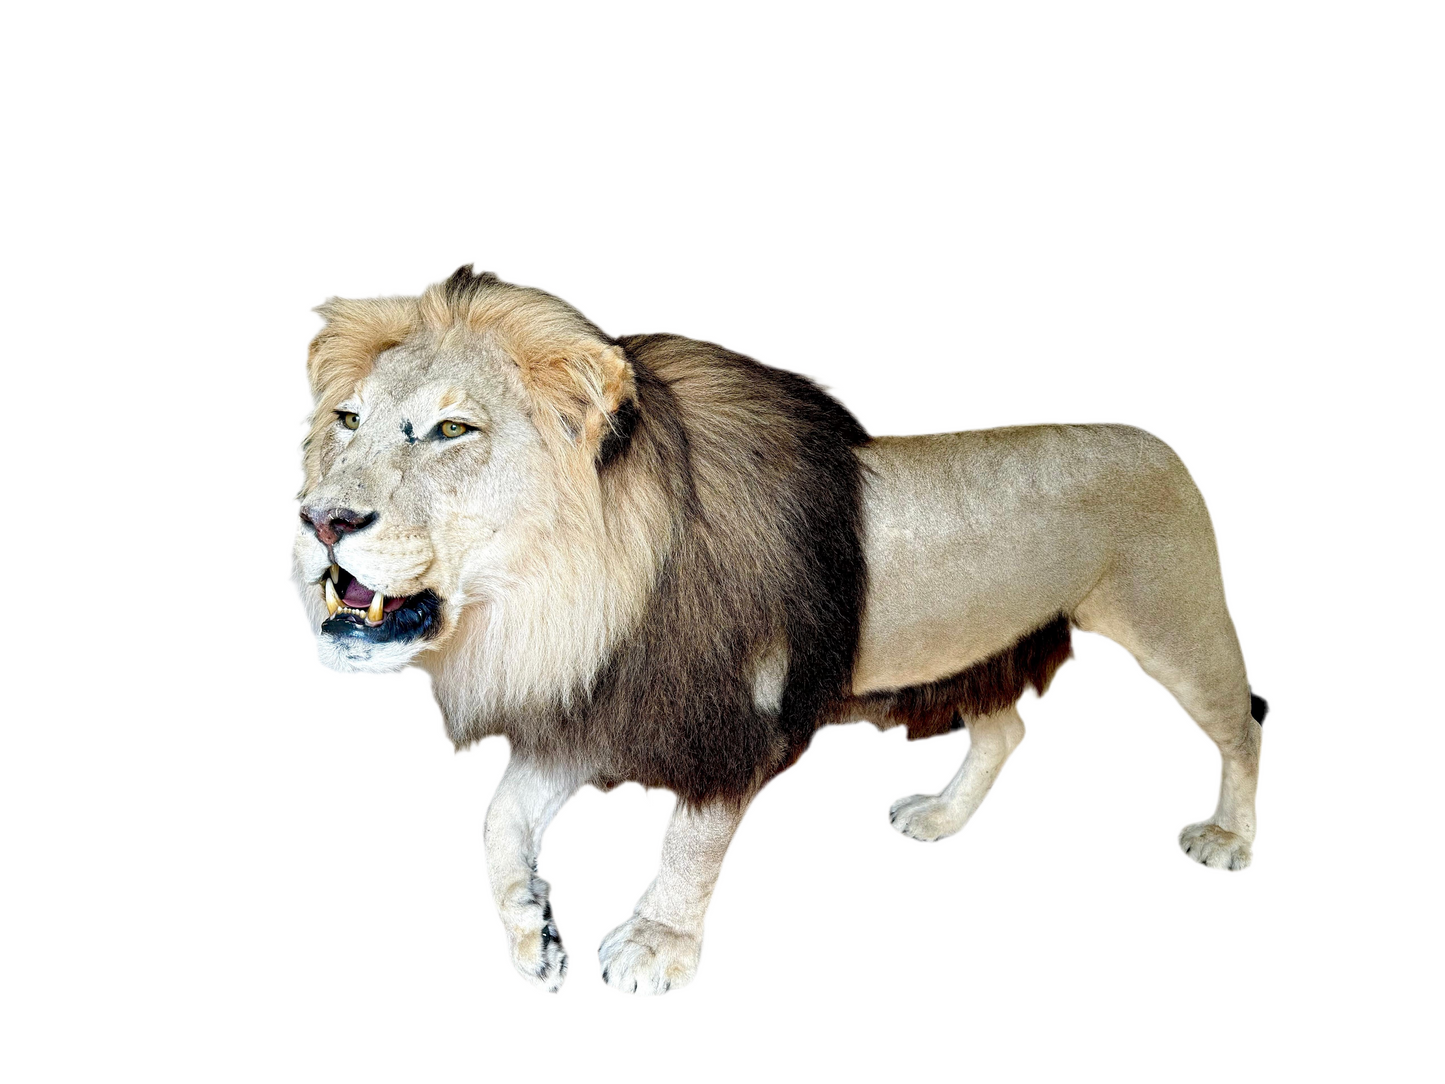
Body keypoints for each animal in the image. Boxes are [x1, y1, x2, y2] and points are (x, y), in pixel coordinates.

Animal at [294, 266, 1266, 995]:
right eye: (348, 419)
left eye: (452, 429)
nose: (318, 520)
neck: (558, 605)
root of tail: (1158, 442)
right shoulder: (591, 708)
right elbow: (497, 819)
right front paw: (533, 928)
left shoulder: (737, 723)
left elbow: (689, 843)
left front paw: (655, 946)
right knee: (1009, 729)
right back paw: (940, 817)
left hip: (1176, 622)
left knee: (1244, 723)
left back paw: (1227, 840)